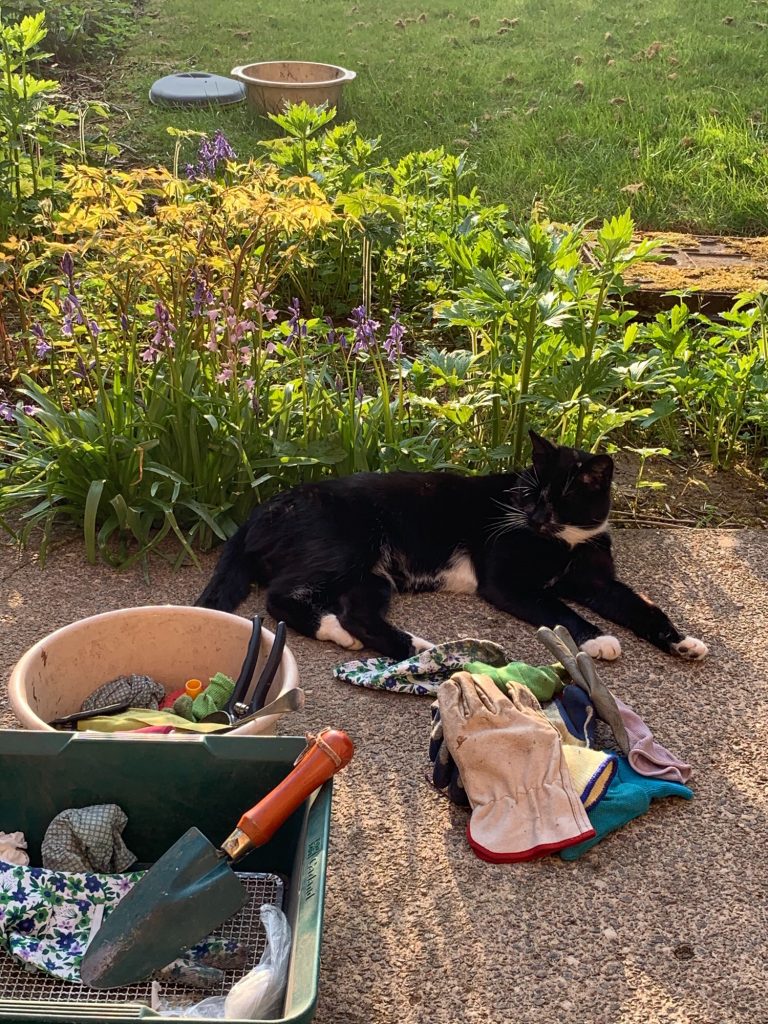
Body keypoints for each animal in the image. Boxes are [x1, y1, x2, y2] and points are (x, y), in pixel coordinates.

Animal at [196, 428, 708, 659]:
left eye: (561, 500)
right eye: (528, 494)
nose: (534, 517)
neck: (565, 543)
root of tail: (265, 506)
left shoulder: (598, 581)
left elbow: (644, 607)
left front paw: (682, 640)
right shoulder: (506, 582)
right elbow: (559, 609)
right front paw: (598, 638)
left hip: (371, 577)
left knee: (358, 613)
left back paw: (415, 649)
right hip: (345, 549)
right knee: (283, 597)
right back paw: (347, 634)